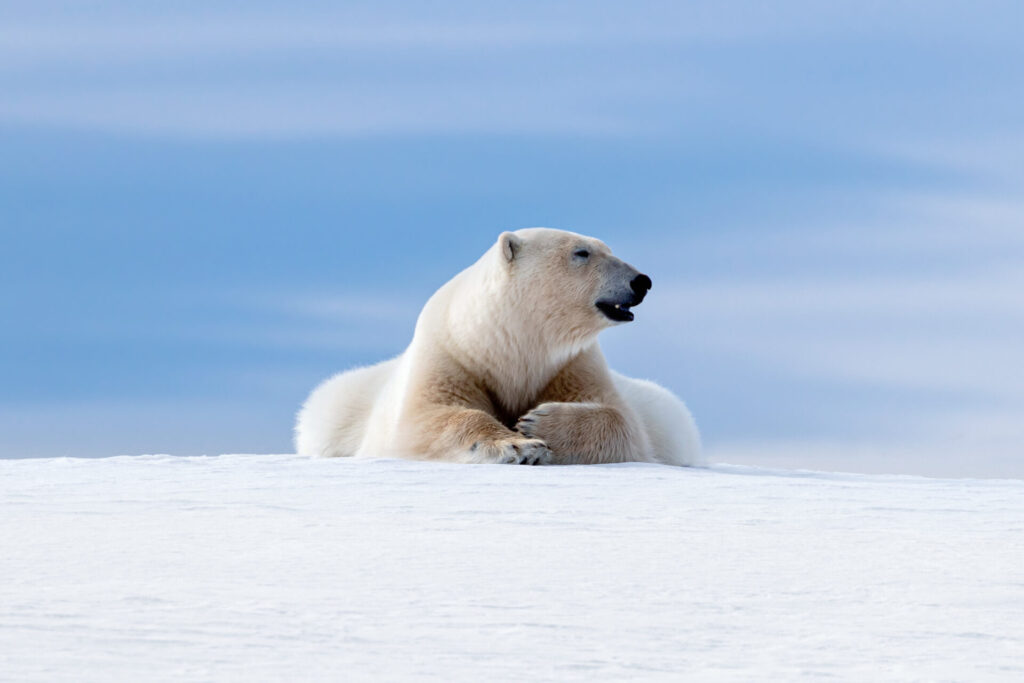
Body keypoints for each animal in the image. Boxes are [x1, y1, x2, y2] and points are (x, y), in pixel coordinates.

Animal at [294, 228, 702, 466]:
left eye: (607, 248)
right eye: (582, 253)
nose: (641, 281)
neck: (504, 343)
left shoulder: (571, 364)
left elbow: (624, 423)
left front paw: (539, 422)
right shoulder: (450, 355)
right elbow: (424, 418)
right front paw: (520, 447)